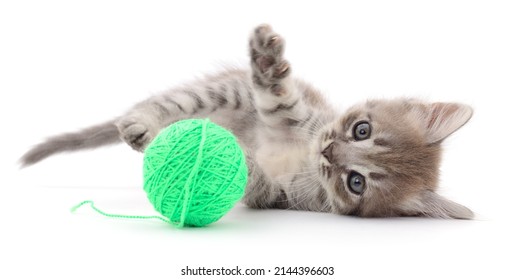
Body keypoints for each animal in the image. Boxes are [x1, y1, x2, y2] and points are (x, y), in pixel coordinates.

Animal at [20, 24, 474, 219]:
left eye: (356, 182)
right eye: (361, 129)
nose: (329, 150)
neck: (305, 156)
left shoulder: (275, 196)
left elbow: (251, 177)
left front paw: (211, 159)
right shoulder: (294, 115)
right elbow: (279, 96)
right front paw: (269, 60)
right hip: (227, 90)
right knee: (158, 104)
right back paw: (143, 124)